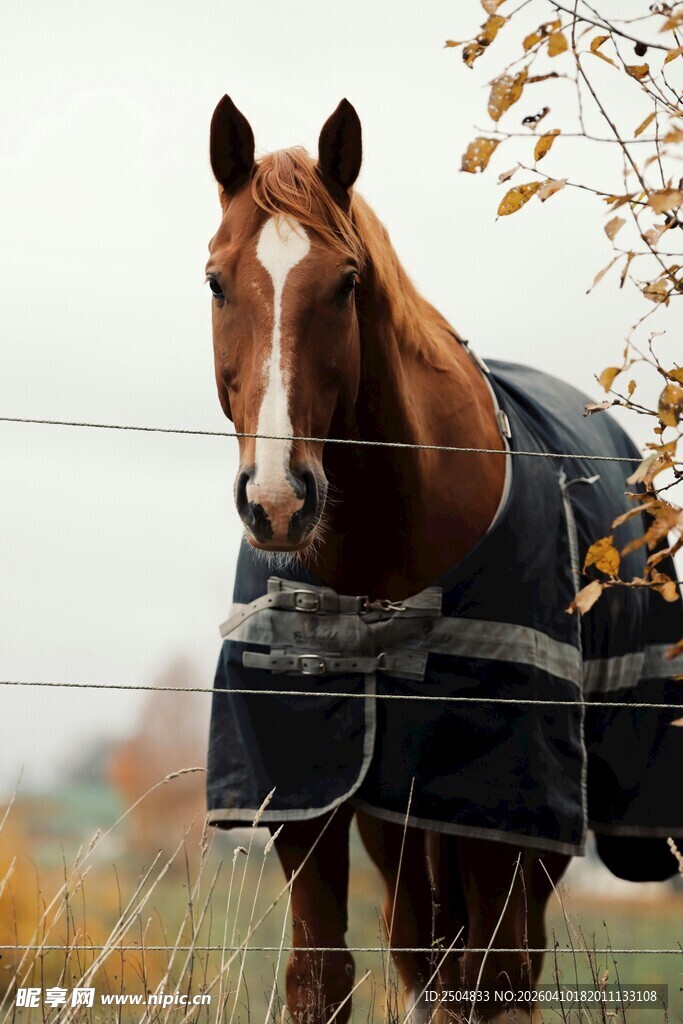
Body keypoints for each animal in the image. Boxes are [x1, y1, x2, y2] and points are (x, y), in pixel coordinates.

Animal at [204, 96, 683, 1023]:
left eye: (347, 281)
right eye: (215, 280)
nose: (278, 501)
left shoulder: (500, 801)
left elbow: (490, 978)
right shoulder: (308, 795)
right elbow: (322, 978)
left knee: (501, 970)